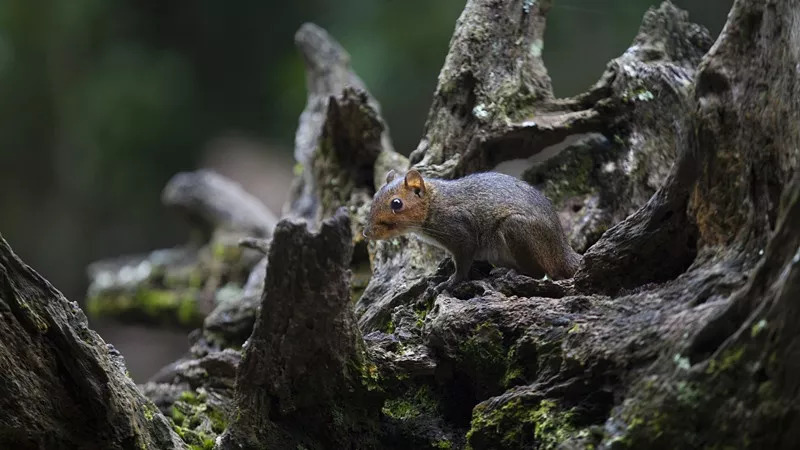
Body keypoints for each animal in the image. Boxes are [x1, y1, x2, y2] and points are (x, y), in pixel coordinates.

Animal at [364, 171, 580, 286]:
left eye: (397, 204)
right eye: (375, 196)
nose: (367, 233)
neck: (434, 203)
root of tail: (562, 251)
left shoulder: (461, 233)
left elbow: (463, 263)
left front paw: (451, 281)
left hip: (516, 231)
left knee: (538, 272)